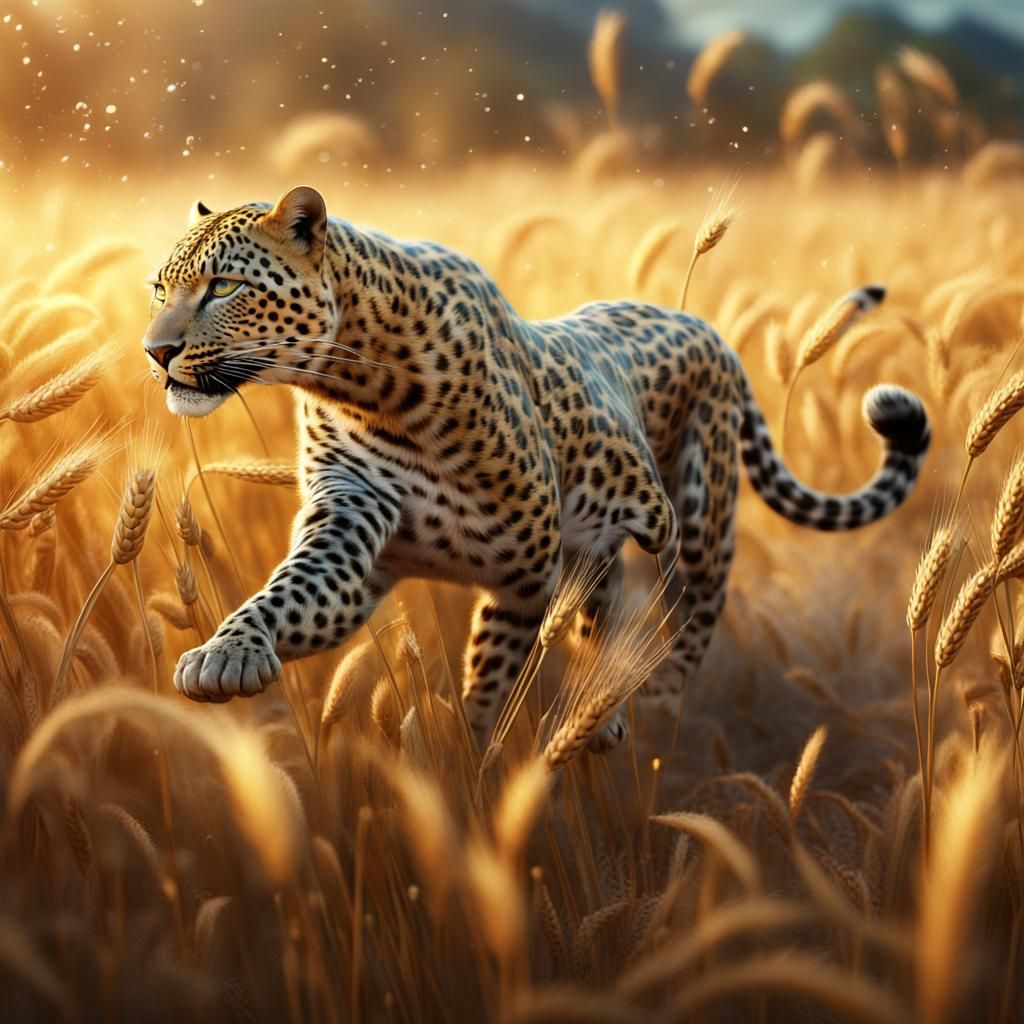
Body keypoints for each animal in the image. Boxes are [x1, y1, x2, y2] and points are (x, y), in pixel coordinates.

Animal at [143, 186, 930, 742]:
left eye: (223, 287)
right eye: (160, 288)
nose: (155, 351)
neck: (363, 382)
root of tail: (708, 329)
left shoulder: (526, 571)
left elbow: (490, 682)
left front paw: (475, 764)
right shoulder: (352, 525)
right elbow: (293, 595)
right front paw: (226, 653)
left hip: (700, 516)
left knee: (693, 608)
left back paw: (648, 706)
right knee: (607, 614)